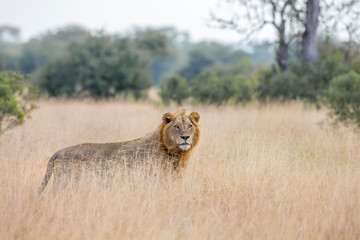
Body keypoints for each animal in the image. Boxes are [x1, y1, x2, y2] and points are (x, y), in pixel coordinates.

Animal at [38, 109, 201, 193]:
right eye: (177, 126)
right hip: (65, 184)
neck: (176, 153)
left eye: (190, 126)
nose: (185, 137)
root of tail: (56, 153)